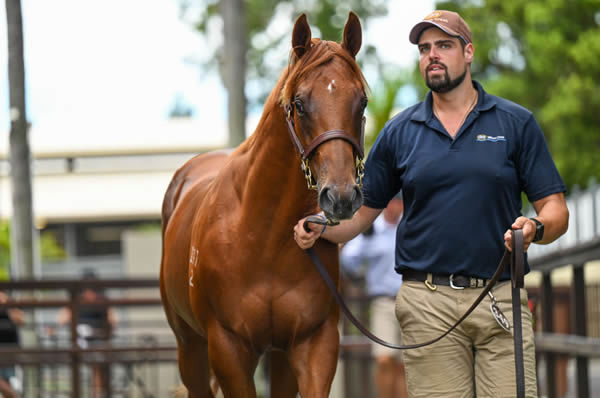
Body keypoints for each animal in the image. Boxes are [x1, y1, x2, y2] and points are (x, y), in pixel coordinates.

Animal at [159, 12, 366, 398]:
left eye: (360, 101)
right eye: (299, 103)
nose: (341, 196)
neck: (264, 237)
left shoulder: (313, 342)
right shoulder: (228, 347)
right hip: (190, 347)